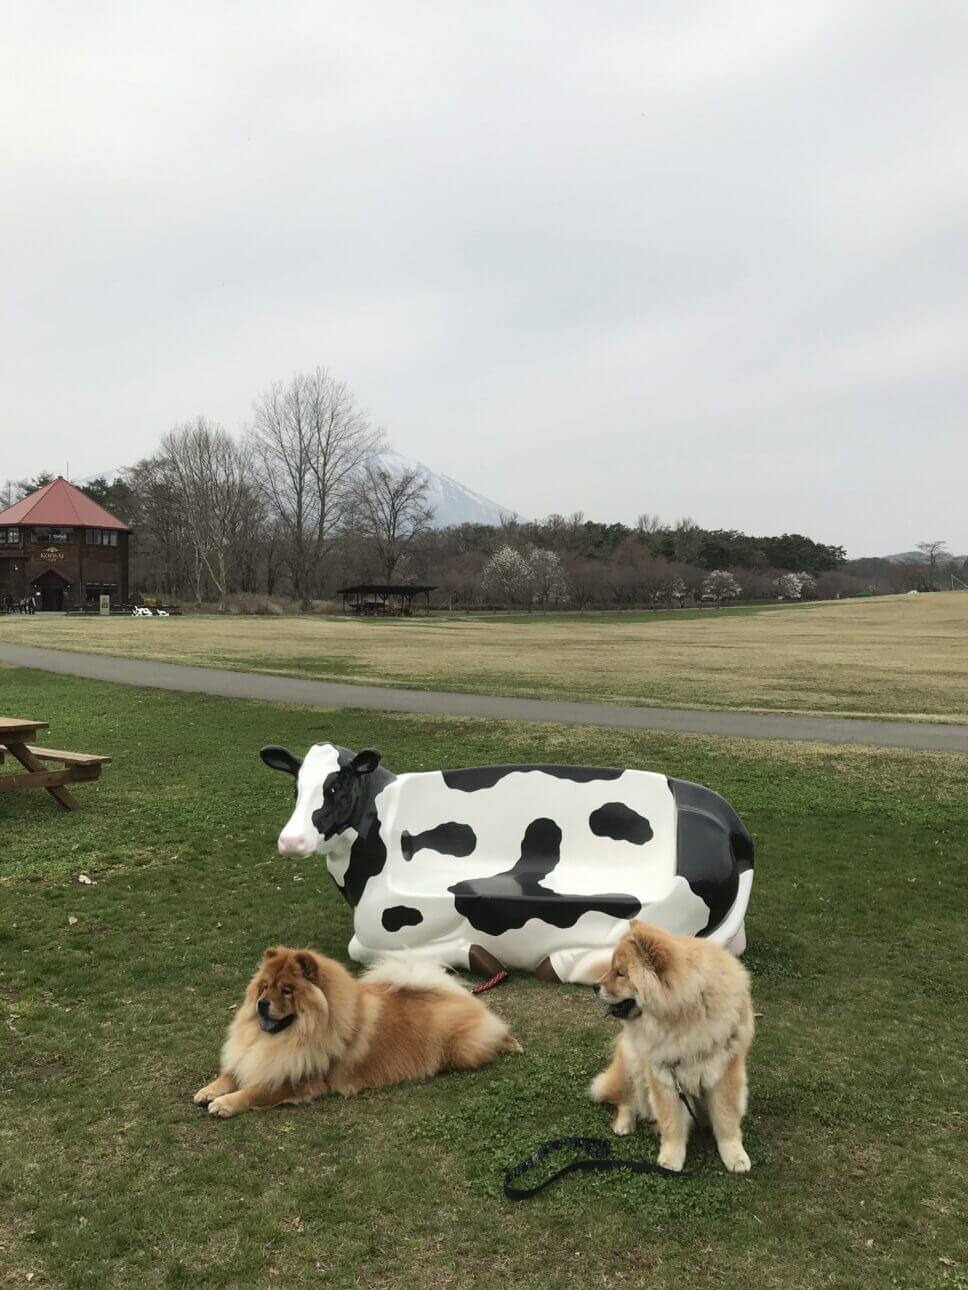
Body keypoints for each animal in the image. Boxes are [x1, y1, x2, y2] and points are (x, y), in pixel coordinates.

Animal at [194, 944, 524, 1114]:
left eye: (287, 990)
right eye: (264, 987)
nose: (262, 1003)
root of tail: (455, 994)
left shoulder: (300, 1079)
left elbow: (256, 1091)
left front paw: (224, 1103)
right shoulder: (255, 1058)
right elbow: (231, 1073)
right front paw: (208, 1091)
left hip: (462, 1049)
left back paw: (512, 1044)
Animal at [588, 918, 753, 1171]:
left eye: (620, 973)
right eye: (612, 969)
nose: (595, 986)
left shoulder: (725, 1072)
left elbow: (726, 1118)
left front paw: (735, 1157)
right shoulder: (663, 1075)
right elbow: (672, 1122)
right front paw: (671, 1160)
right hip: (632, 1062)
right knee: (626, 1101)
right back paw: (624, 1124)